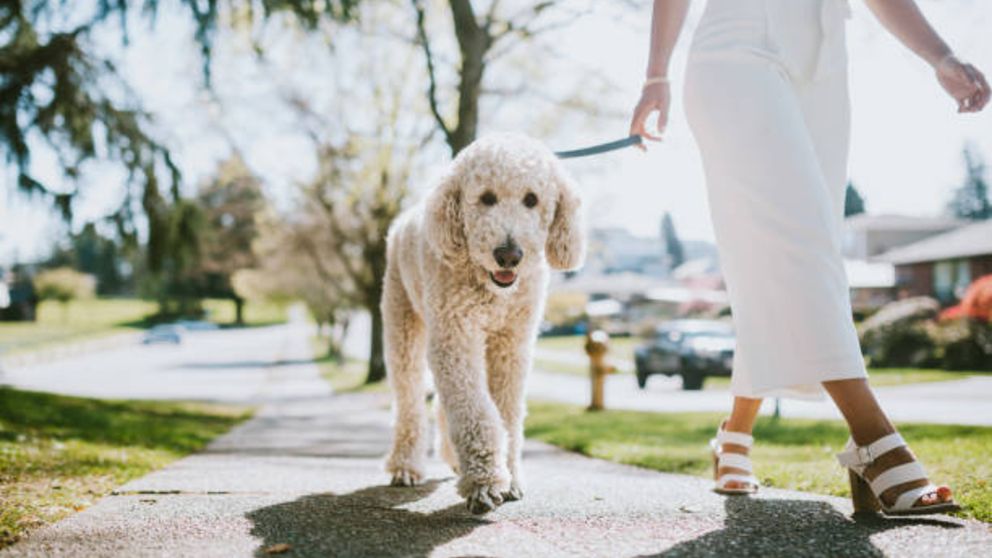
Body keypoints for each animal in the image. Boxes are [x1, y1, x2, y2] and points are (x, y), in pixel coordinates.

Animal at [378, 135, 580, 516]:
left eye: (532, 199)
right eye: (486, 197)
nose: (509, 255)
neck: (491, 287)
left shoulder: (511, 345)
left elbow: (506, 413)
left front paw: (508, 477)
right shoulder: (455, 337)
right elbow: (475, 411)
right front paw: (484, 483)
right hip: (403, 324)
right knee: (409, 400)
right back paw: (406, 466)